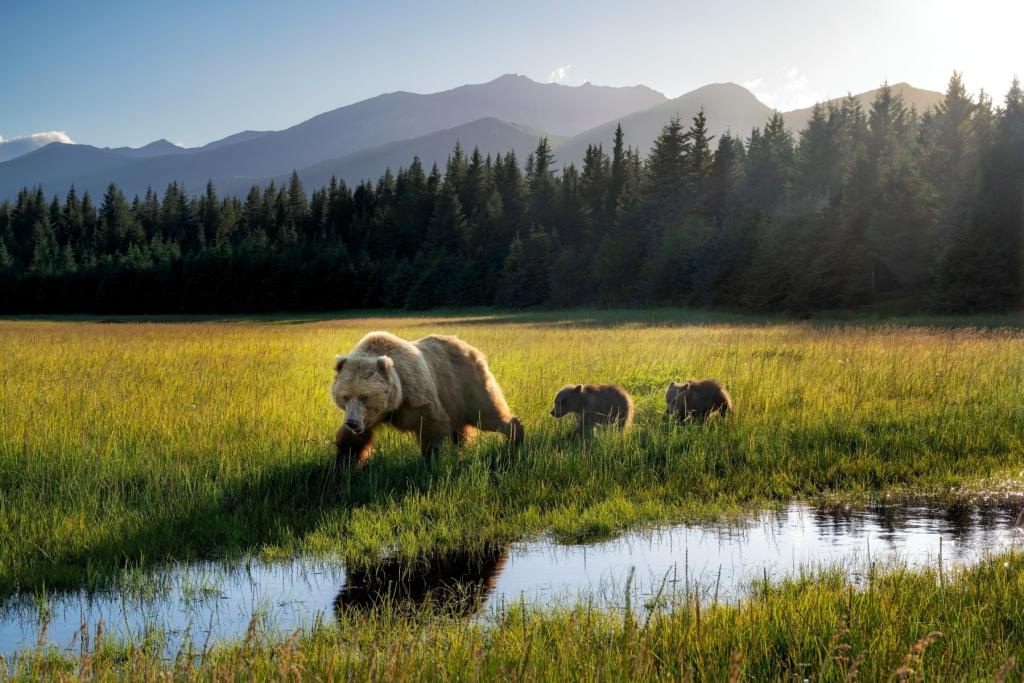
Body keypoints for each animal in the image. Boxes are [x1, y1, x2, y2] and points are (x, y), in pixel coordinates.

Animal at [331, 331, 524, 465]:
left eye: (365, 396)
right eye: (345, 396)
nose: (352, 422)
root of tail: (470, 347)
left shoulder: (416, 396)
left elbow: (432, 426)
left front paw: (430, 461)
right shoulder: (368, 417)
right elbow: (351, 441)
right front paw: (344, 463)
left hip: (467, 384)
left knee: (486, 413)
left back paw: (515, 436)